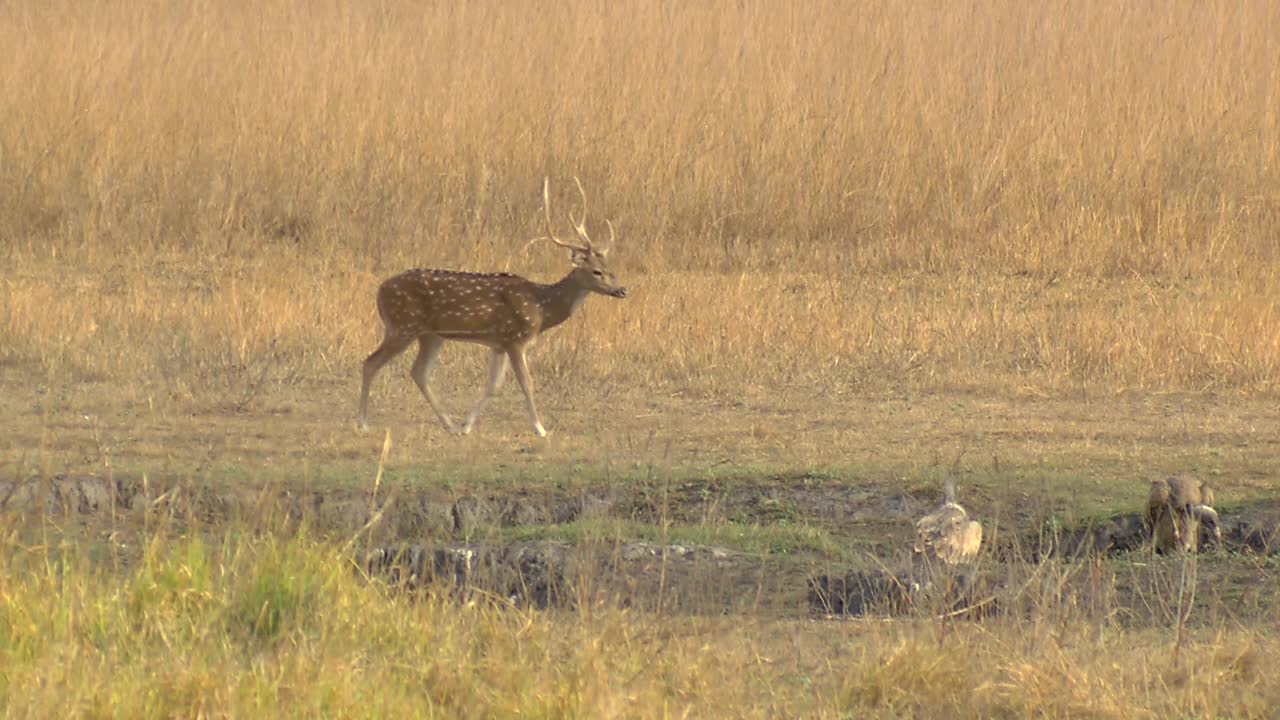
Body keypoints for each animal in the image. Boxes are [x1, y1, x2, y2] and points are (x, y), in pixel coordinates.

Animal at [358, 179, 627, 438]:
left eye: (610, 267)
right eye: (596, 271)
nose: (622, 290)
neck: (542, 307)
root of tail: (379, 291)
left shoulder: (499, 342)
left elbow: (494, 386)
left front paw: (466, 425)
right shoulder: (516, 339)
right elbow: (526, 383)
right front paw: (540, 428)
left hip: (431, 335)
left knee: (419, 373)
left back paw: (450, 425)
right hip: (402, 325)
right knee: (370, 363)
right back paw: (362, 423)